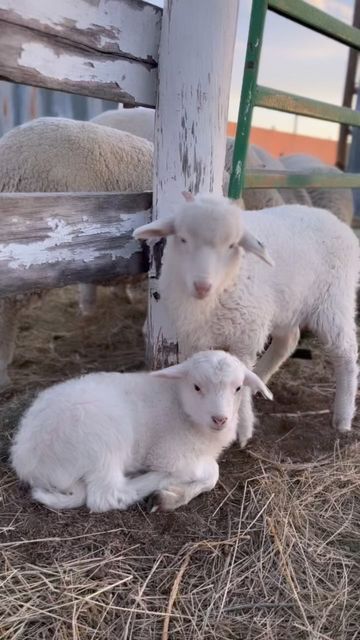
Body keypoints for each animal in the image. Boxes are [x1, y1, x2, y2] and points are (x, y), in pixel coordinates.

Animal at [9, 348, 272, 512]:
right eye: (197, 387)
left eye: (238, 388)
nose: (220, 419)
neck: (180, 404)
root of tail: (29, 464)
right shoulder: (170, 454)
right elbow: (211, 472)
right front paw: (171, 494)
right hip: (104, 439)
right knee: (107, 496)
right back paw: (156, 480)